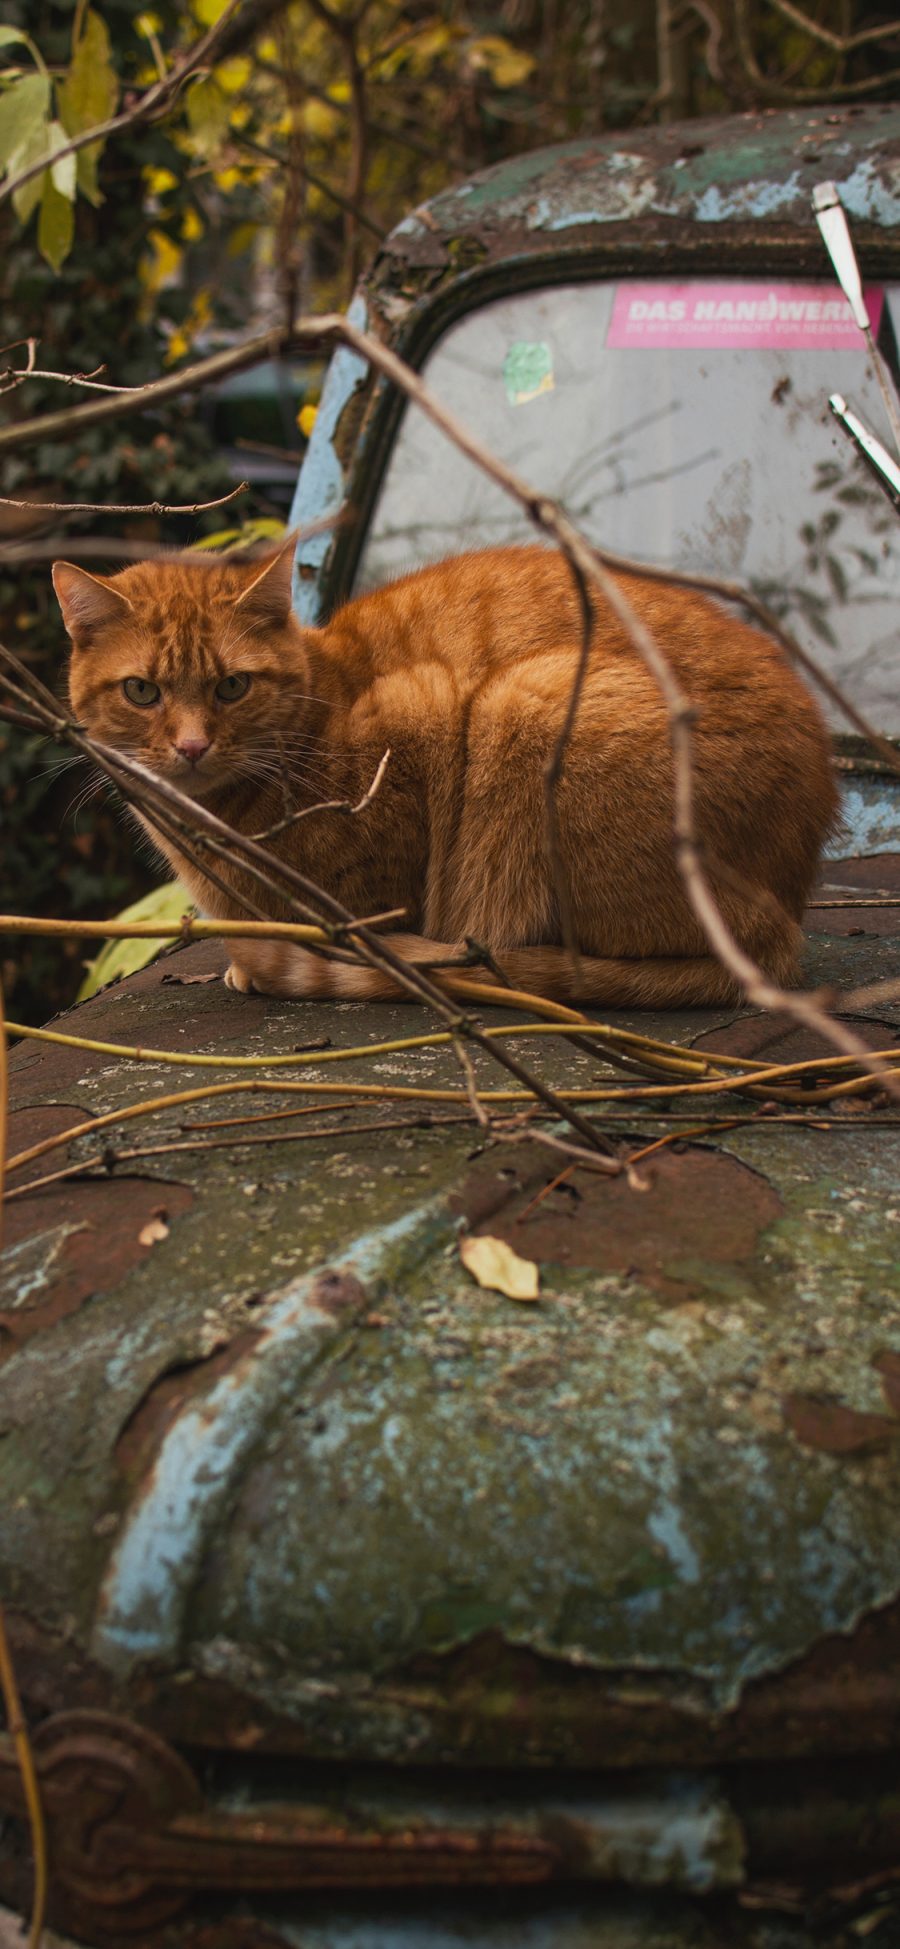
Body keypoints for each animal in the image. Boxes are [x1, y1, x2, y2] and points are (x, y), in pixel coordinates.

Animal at [54, 541, 837, 1013]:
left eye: (231, 687)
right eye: (143, 692)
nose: (190, 746)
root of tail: (786, 910)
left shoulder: (418, 720)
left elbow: (376, 900)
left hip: (527, 701)